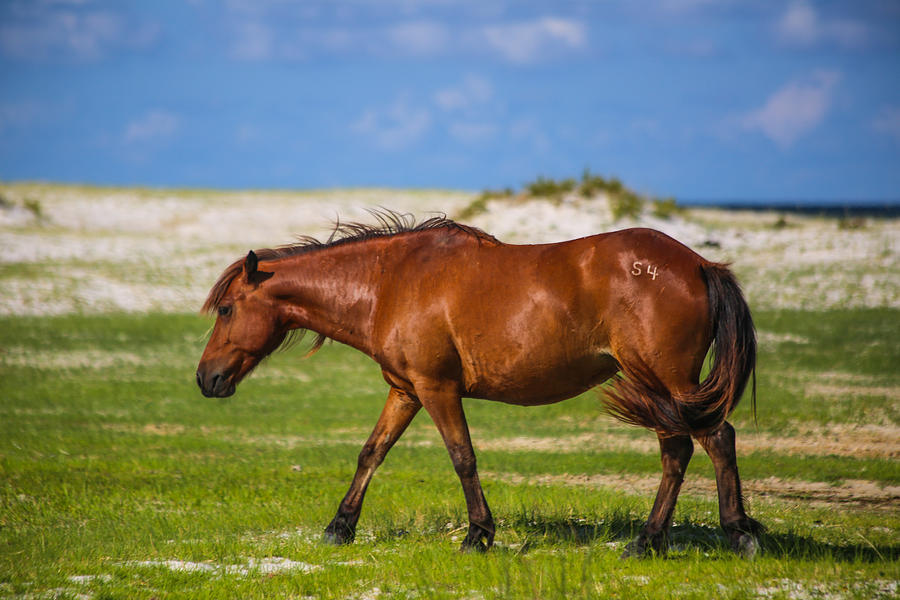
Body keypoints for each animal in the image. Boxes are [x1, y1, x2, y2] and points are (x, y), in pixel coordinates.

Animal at [195, 210, 760, 556]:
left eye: (226, 309)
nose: (206, 378)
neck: (389, 283)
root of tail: (700, 264)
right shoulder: (405, 391)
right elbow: (371, 453)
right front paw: (339, 528)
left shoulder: (437, 389)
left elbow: (463, 457)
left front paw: (478, 536)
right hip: (658, 389)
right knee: (680, 451)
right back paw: (651, 541)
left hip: (664, 381)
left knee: (712, 440)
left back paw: (732, 534)